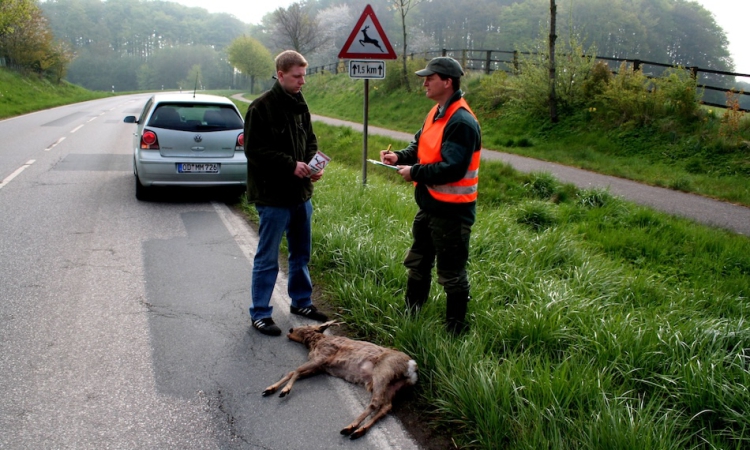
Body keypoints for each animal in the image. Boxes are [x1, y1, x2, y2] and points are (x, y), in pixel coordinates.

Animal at [262, 320, 418, 440]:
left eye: (306, 324)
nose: (290, 329)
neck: (315, 342)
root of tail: (412, 367)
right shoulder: (320, 367)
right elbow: (294, 372)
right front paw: (270, 389)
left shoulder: (324, 356)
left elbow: (297, 370)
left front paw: (284, 390)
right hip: (393, 385)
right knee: (386, 406)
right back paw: (359, 431)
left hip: (383, 372)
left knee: (376, 402)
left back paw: (350, 427)